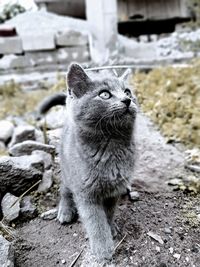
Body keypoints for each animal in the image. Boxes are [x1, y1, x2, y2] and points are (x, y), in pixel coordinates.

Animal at [38, 63, 138, 264]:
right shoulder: (86, 193)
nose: (127, 100)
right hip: (67, 170)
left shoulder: (113, 191)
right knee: (65, 190)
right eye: (104, 94)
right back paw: (65, 211)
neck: (111, 146)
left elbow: (109, 213)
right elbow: (96, 222)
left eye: (128, 91)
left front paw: (111, 229)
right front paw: (103, 250)